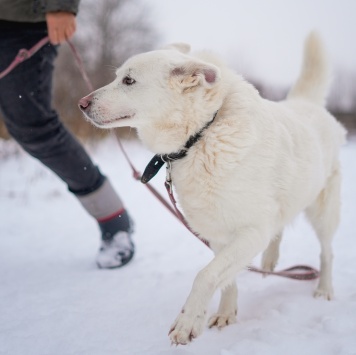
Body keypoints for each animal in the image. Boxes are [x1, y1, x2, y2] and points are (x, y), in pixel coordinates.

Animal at [80, 32, 344, 344]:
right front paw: (226, 313)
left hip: (323, 212)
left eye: (129, 80)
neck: (201, 134)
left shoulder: (251, 232)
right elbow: (224, 278)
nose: (81, 103)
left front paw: (187, 322)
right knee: (278, 229)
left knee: (326, 252)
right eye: (118, 76)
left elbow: (205, 276)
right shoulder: (217, 233)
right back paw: (269, 261)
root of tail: (306, 103)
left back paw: (324, 289)